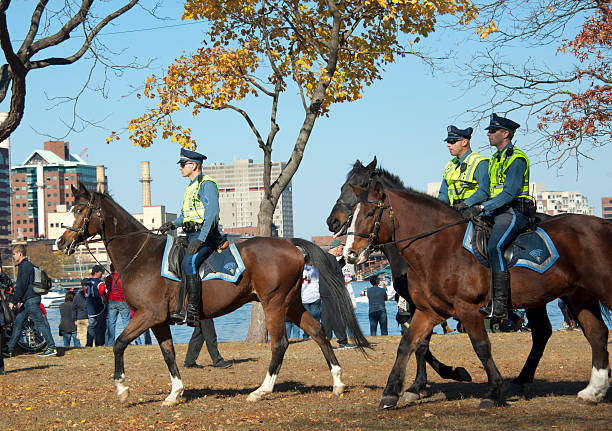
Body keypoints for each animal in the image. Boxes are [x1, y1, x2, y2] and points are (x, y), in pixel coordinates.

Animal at [56, 184, 368, 406]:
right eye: (69, 210)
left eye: (81, 210)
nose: (60, 242)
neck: (141, 257)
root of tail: (289, 243)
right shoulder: (158, 321)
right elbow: (168, 354)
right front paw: (175, 393)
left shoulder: (148, 315)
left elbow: (119, 344)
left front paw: (122, 388)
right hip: (290, 303)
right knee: (317, 331)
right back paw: (337, 382)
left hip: (274, 304)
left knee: (280, 344)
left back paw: (262, 391)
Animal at [346, 177, 608, 410]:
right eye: (352, 214)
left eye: (369, 214)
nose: (349, 253)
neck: (439, 247)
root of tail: (603, 223)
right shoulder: (428, 310)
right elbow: (408, 344)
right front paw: (391, 393)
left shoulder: (467, 309)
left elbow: (481, 346)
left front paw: (493, 391)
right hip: (578, 296)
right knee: (595, 333)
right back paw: (592, 390)